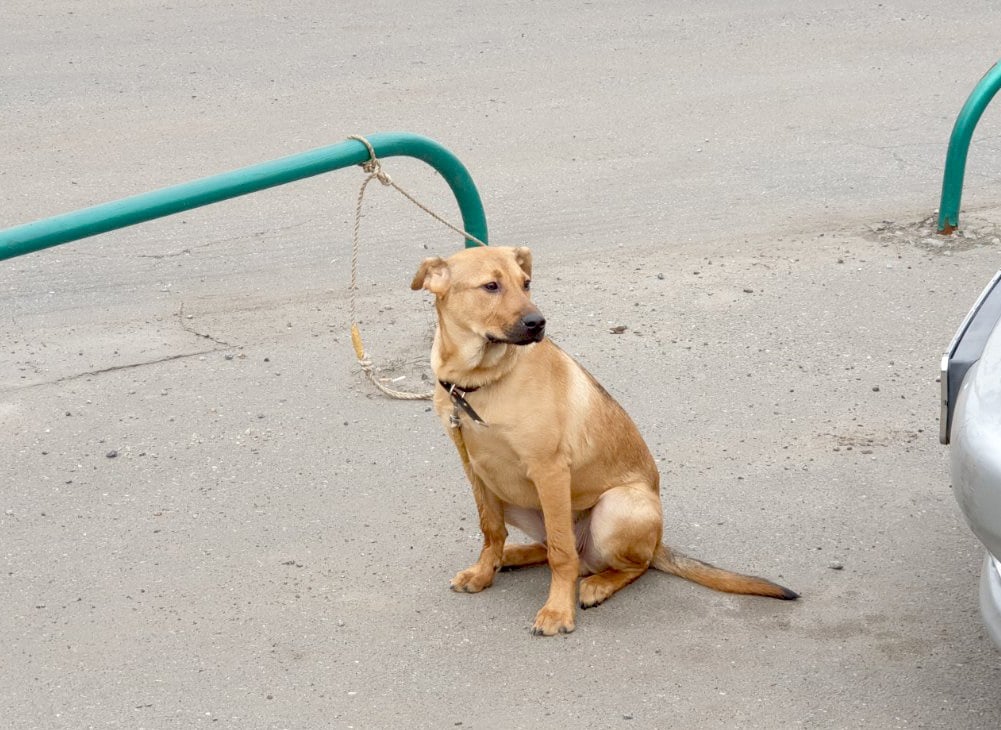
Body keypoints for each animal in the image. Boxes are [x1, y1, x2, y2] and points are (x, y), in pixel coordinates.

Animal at [410, 243, 792, 632]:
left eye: (526, 283)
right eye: (490, 286)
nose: (538, 323)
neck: (478, 381)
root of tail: (658, 543)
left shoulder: (549, 469)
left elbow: (561, 554)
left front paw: (557, 611)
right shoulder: (474, 466)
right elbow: (491, 529)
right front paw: (484, 572)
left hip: (618, 507)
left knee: (614, 562)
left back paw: (598, 584)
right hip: (511, 495)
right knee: (554, 546)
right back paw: (515, 554)